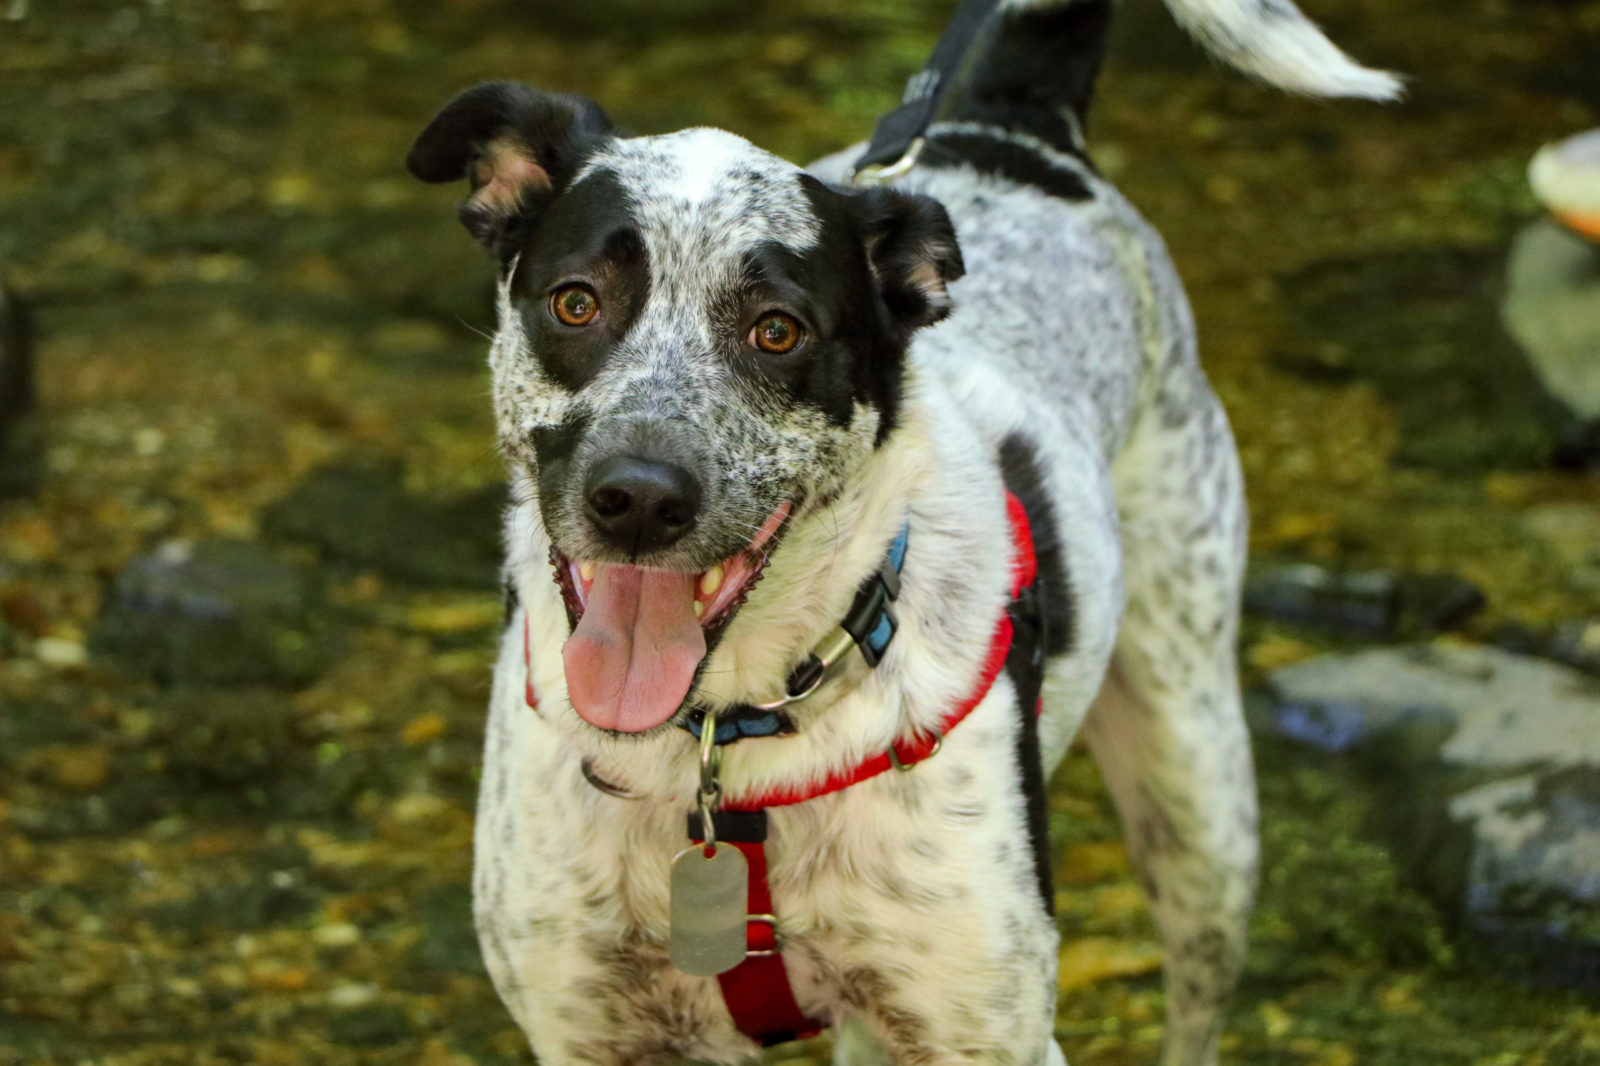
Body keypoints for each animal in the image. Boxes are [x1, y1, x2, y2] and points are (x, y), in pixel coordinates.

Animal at [406, 2, 1395, 1062]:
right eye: (576, 301)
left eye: (778, 330)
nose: (636, 497)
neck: (724, 756)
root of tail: (1010, 132)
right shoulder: (594, 1028)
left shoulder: (985, 1030)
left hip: (1200, 799)